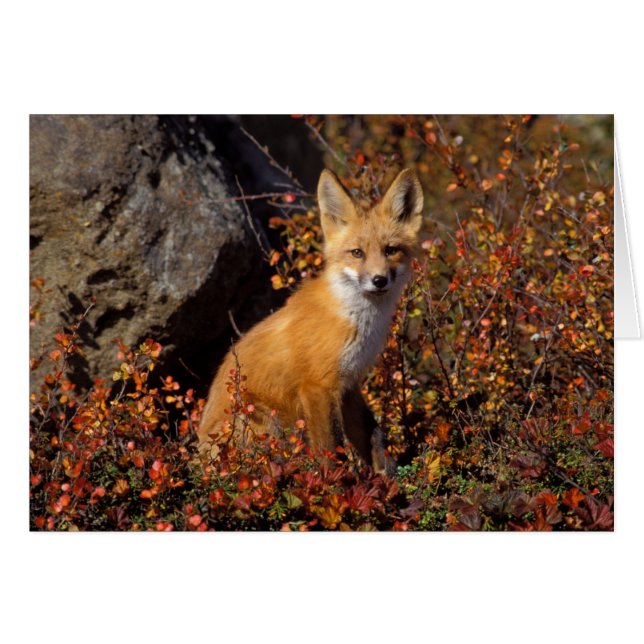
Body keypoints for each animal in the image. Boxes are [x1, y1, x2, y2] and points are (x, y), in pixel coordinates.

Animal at [198, 167, 424, 473]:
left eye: (390, 250)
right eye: (357, 253)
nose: (379, 280)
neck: (356, 320)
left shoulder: (348, 383)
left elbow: (373, 434)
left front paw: (386, 474)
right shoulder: (318, 385)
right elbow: (332, 449)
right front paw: (340, 483)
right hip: (264, 420)